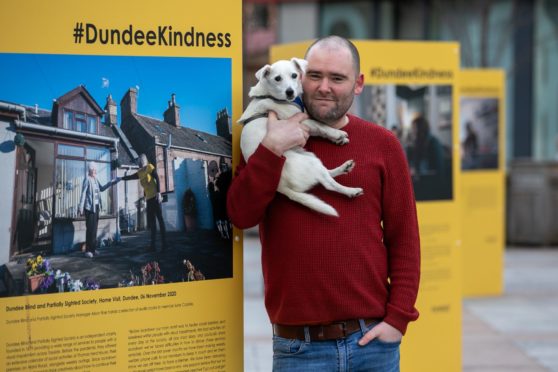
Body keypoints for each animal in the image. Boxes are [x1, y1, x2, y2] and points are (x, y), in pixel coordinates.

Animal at [238, 56, 366, 217]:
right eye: (277, 78)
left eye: (294, 75)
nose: (290, 92)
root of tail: (281, 187)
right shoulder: (298, 120)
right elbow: (319, 124)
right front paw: (337, 133)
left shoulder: (304, 123)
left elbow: (320, 129)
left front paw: (337, 138)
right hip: (311, 163)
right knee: (328, 184)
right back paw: (351, 190)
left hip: (310, 156)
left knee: (326, 174)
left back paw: (344, 168)